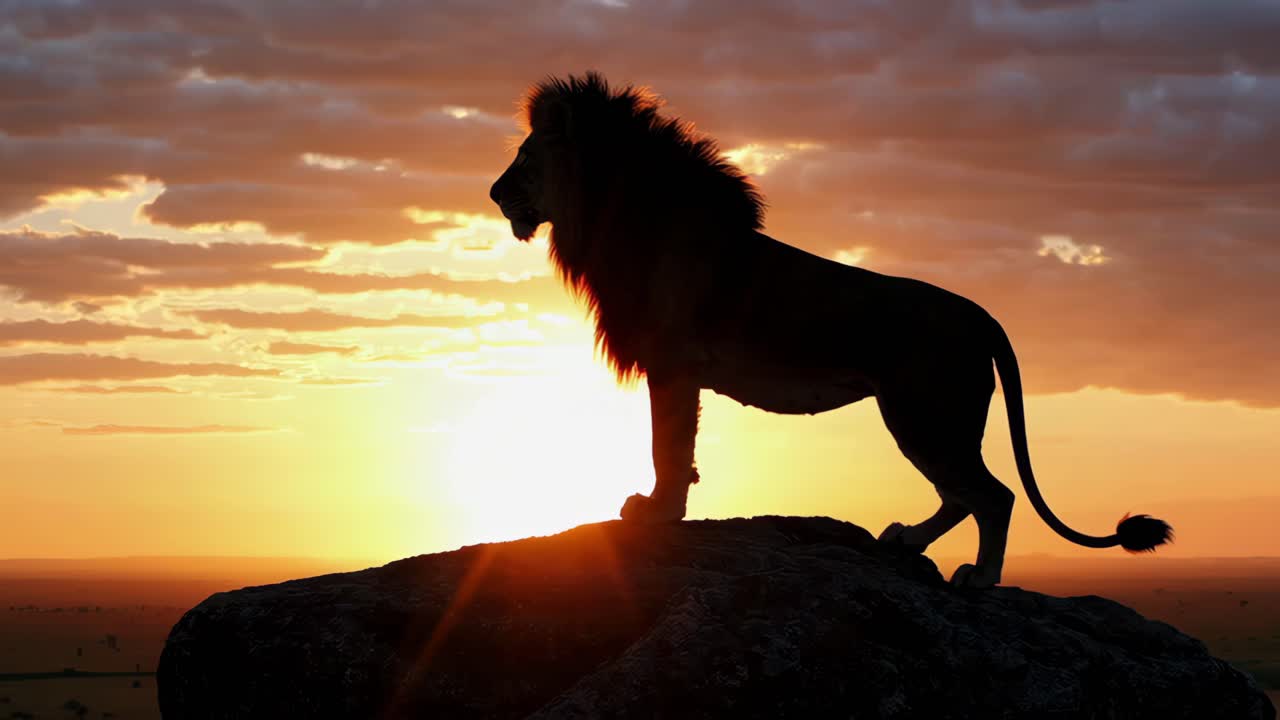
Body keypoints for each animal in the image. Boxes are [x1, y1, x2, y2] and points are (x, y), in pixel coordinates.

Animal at [488, 72, 1172, 588]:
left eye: (523, 157)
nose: (493, 194)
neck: (614, 221)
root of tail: (982, 315)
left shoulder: (674, 364)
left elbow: (668, 449)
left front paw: (657, 517)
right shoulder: (680, 370)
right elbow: (679, 452)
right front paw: (666, 513)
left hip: (925, 414)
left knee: (991, 495)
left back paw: (979, 579)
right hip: (929, 419)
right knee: (963, 495)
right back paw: (903, 541)